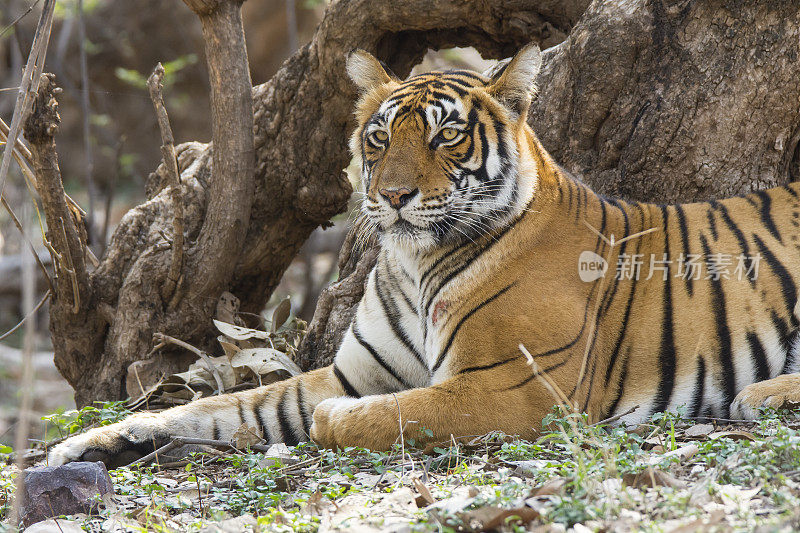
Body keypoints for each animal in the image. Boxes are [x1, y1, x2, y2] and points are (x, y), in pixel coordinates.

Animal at [50, 43, 800, 468]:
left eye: (446, 136)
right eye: (379, 138)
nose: (393, 195)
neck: (415, 265)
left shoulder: (515, 387)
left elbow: (389, 413)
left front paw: (331, 424)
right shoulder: (352, 372)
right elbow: (223, 407)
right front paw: (93, 441)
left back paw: (756, 396)